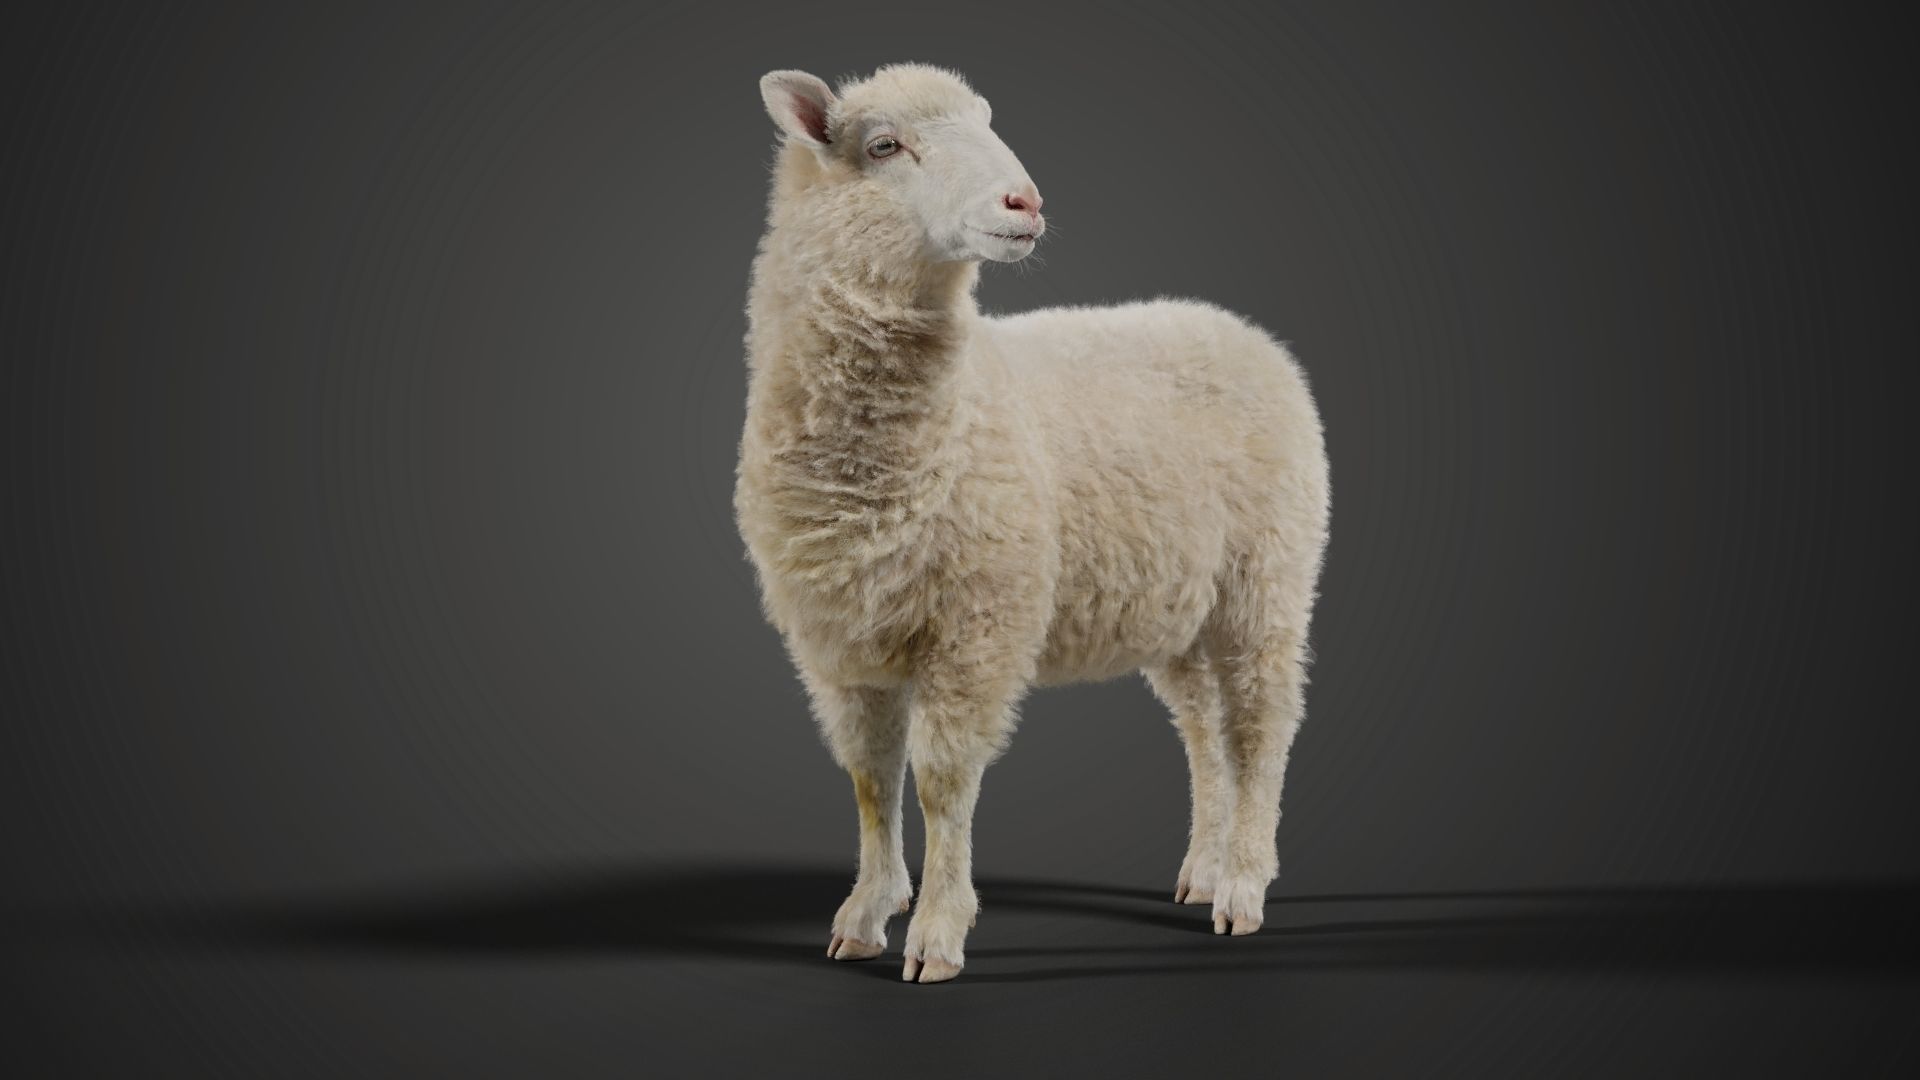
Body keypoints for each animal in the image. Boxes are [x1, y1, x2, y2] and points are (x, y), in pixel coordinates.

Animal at [734, 63, 1330, 984]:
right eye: (883, 146)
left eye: (987, 122)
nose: (1025, 201)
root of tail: (1240, 329)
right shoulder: (840, 640)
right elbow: (871, 776)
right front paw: (866, 912)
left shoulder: (980, 623)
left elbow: (942, 780)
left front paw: (937, 933)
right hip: (1179, 605)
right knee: (1203, 728)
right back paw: (1203, 866)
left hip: (1267, 574)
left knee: (1260, 725)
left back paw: (1242, 886)